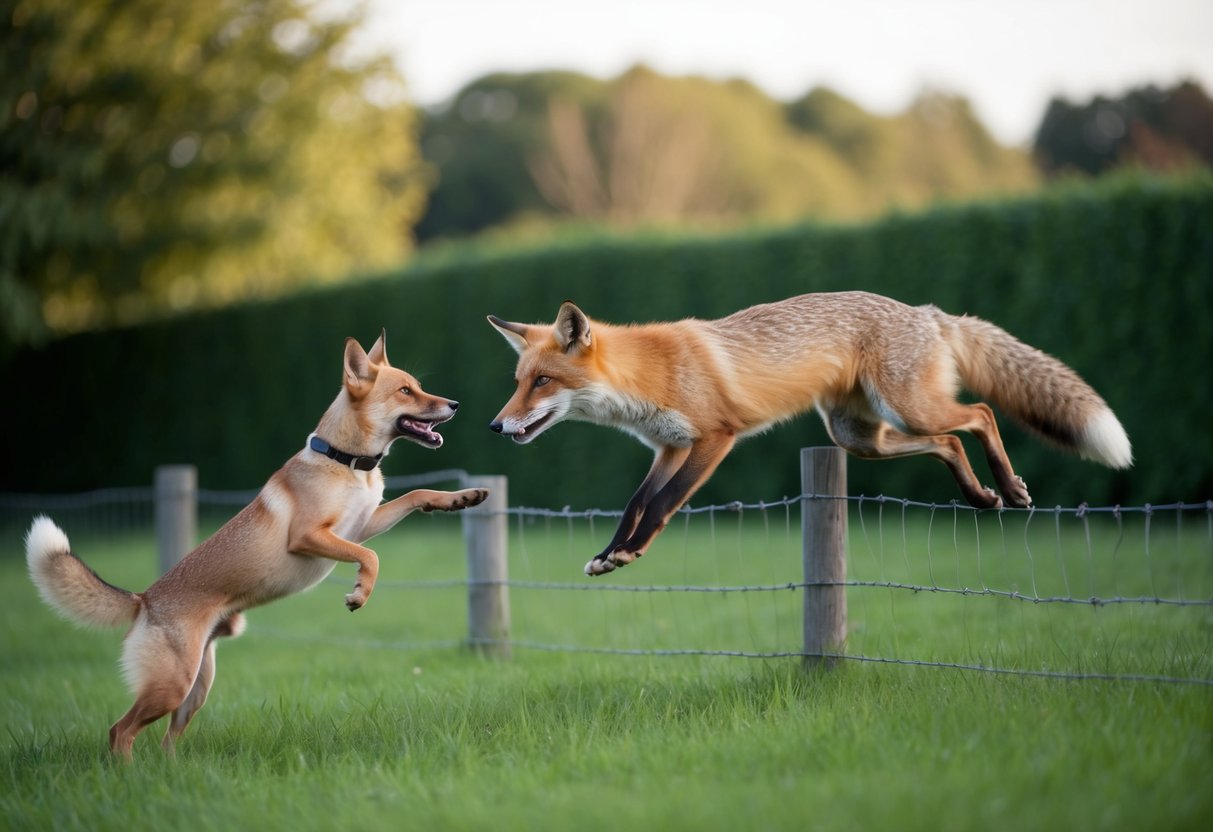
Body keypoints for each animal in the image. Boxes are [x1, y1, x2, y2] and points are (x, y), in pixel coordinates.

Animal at [24, 331, 488, 758]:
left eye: (417, 385)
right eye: (405, 390)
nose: (456, 405)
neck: (345, 461)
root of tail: (144, 600)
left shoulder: (360, 525)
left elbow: (415, 496)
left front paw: (460, 499)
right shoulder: (312, 537)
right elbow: (369, 557)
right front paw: (360, 593)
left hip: (195, 688)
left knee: (164, 741)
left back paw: (168, 774)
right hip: (172, 685)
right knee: (119, 731)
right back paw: (132, 778)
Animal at [487, 291, 1132, 576]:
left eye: (542, 381)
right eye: (519, 382)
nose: (494, 425)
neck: (647, 376)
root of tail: (926, 311)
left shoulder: (715, 438)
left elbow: (665, 504)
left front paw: (630, 551)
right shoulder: (670, 445)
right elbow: (636, 502)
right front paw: (610, 551)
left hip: (910, 410)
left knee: (980, 415)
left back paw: (1010, 487)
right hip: (860, 437)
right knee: (951, 441)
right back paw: (980, 496)